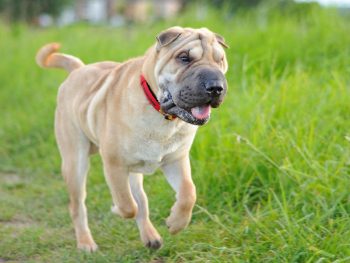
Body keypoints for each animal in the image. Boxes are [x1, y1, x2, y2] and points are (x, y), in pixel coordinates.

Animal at [34, 26, 227, 252]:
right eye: (184, 58)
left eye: (220, 60)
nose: (215, 87)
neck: (160, 114)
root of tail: (78, 69)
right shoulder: (114, 165)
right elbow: (127, 205)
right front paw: (117, 209)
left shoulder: (175, 160)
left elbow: (188, 192)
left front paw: (176, 223)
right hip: (75, 163)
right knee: (78, 205)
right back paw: (85, 242)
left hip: (133, 172)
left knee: (141, 201)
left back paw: (150, 236)